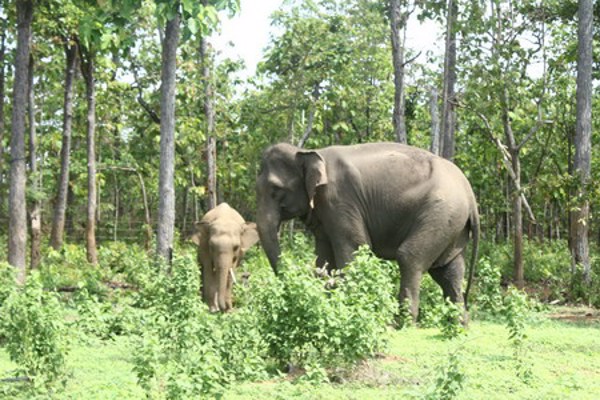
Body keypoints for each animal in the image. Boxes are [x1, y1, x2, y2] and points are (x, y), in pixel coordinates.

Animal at [255, 142, 480, 318]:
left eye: (276, 190)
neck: (308, 151)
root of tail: (469, 192)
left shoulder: (339, 200)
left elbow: (355, 247)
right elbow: (324, 255)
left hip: (440, 212)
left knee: (410, 257)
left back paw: (401, 324)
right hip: (453, 223)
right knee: (448, 271)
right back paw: (458, 324)